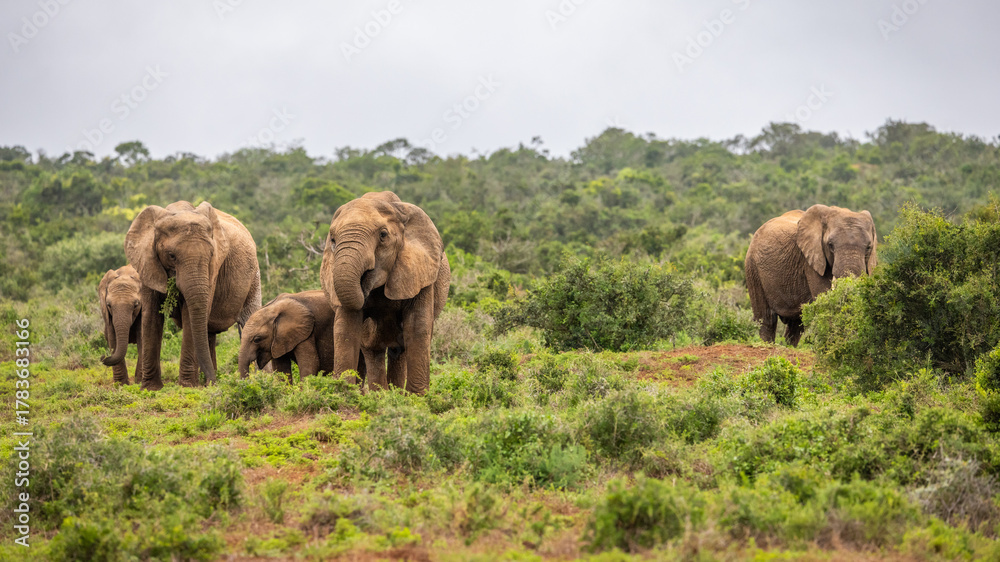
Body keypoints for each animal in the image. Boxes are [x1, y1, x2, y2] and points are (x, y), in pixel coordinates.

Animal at [125, 201, 262, 390]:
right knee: (208, 332)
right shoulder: (147, 262)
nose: (216, 382)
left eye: (211, 255)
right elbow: (151, 317)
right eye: (171, 256)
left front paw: (187, 386)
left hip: (254, 276)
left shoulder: (213, 271)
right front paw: (150, 388)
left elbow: (190, 314)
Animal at [320, 191, 450, 394]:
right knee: (373, 349)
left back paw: (395, 393)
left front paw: (418, 397)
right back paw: (381, 394)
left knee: (400, 347)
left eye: (383, 235)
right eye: (332, 240)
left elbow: (417, 326)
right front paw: (342, 393)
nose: (364, 286)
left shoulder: (421, 274)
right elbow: (346, 328)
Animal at [745, 204, 878, 346]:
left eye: (869, 247)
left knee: (796, 324)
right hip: (752, 267)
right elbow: (824, 298)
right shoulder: (810, 261)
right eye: (830, 245)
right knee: (767, 319)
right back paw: (767, 345)